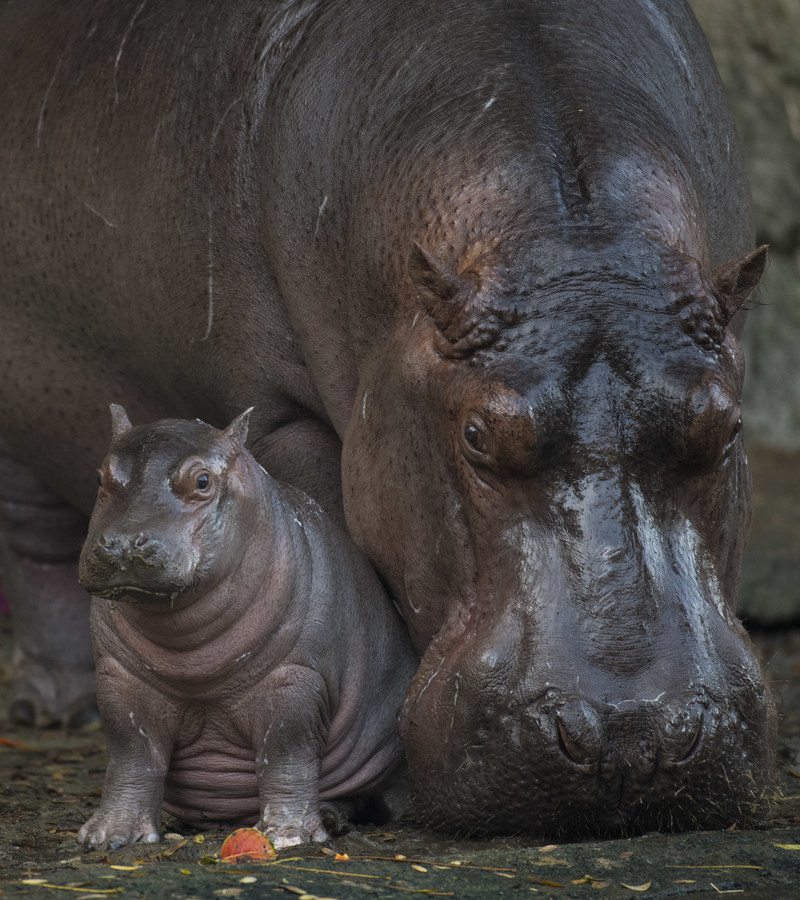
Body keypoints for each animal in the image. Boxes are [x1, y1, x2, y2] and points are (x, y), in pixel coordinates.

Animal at [76, 406, 416, 852]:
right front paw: (107, 836)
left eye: (202, 480)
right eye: (100, 477)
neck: (189, 651)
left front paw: (288, 836)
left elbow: (286, 752)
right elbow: (131, 749)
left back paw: (330, 817)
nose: (123, 544)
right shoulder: (119, 678)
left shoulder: (294, 680)